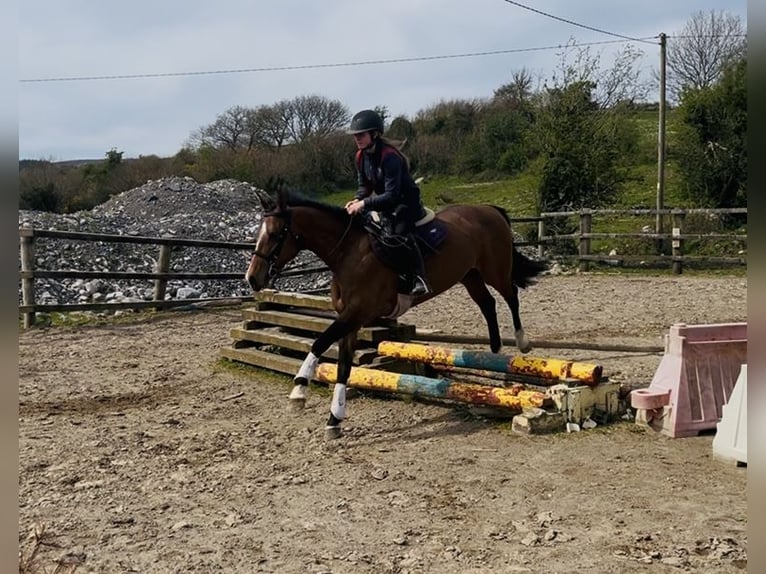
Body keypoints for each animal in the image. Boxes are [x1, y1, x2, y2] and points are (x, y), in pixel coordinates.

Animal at [245, 187, 547, 439]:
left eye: (275, 234)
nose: (252, 279)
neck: (348, 253)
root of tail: (489, 209)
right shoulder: (350, 321)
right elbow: (343, 366)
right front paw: (334, 420)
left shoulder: (357, 313)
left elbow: (320, 342)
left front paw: (298, 391)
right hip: (469, 275)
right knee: (487, 303)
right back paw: (494, 352)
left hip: (495, 269)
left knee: (511, 295)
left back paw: (521, 342)